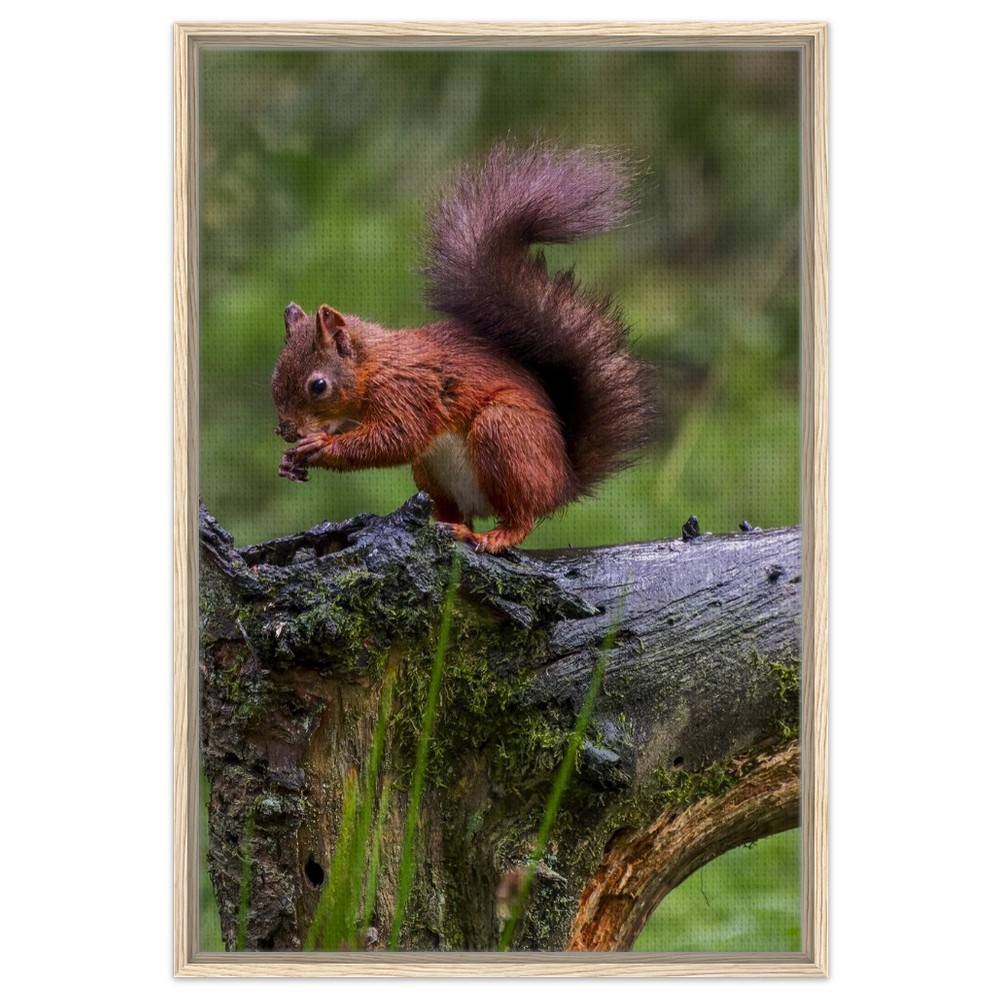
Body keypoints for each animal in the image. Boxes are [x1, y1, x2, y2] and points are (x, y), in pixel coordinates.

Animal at [272, 142, 653, 553]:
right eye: (273, 379)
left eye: (318, 386)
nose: (286, 430)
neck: (372, 365)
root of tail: (563, 483)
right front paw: (289, 462)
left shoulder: (407, 391)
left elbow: (396, 437)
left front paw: (321, 446)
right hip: (432, 471)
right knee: (455, 510)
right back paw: (448, 525)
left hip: (505, 435)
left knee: (521, 516)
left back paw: (495, 535)